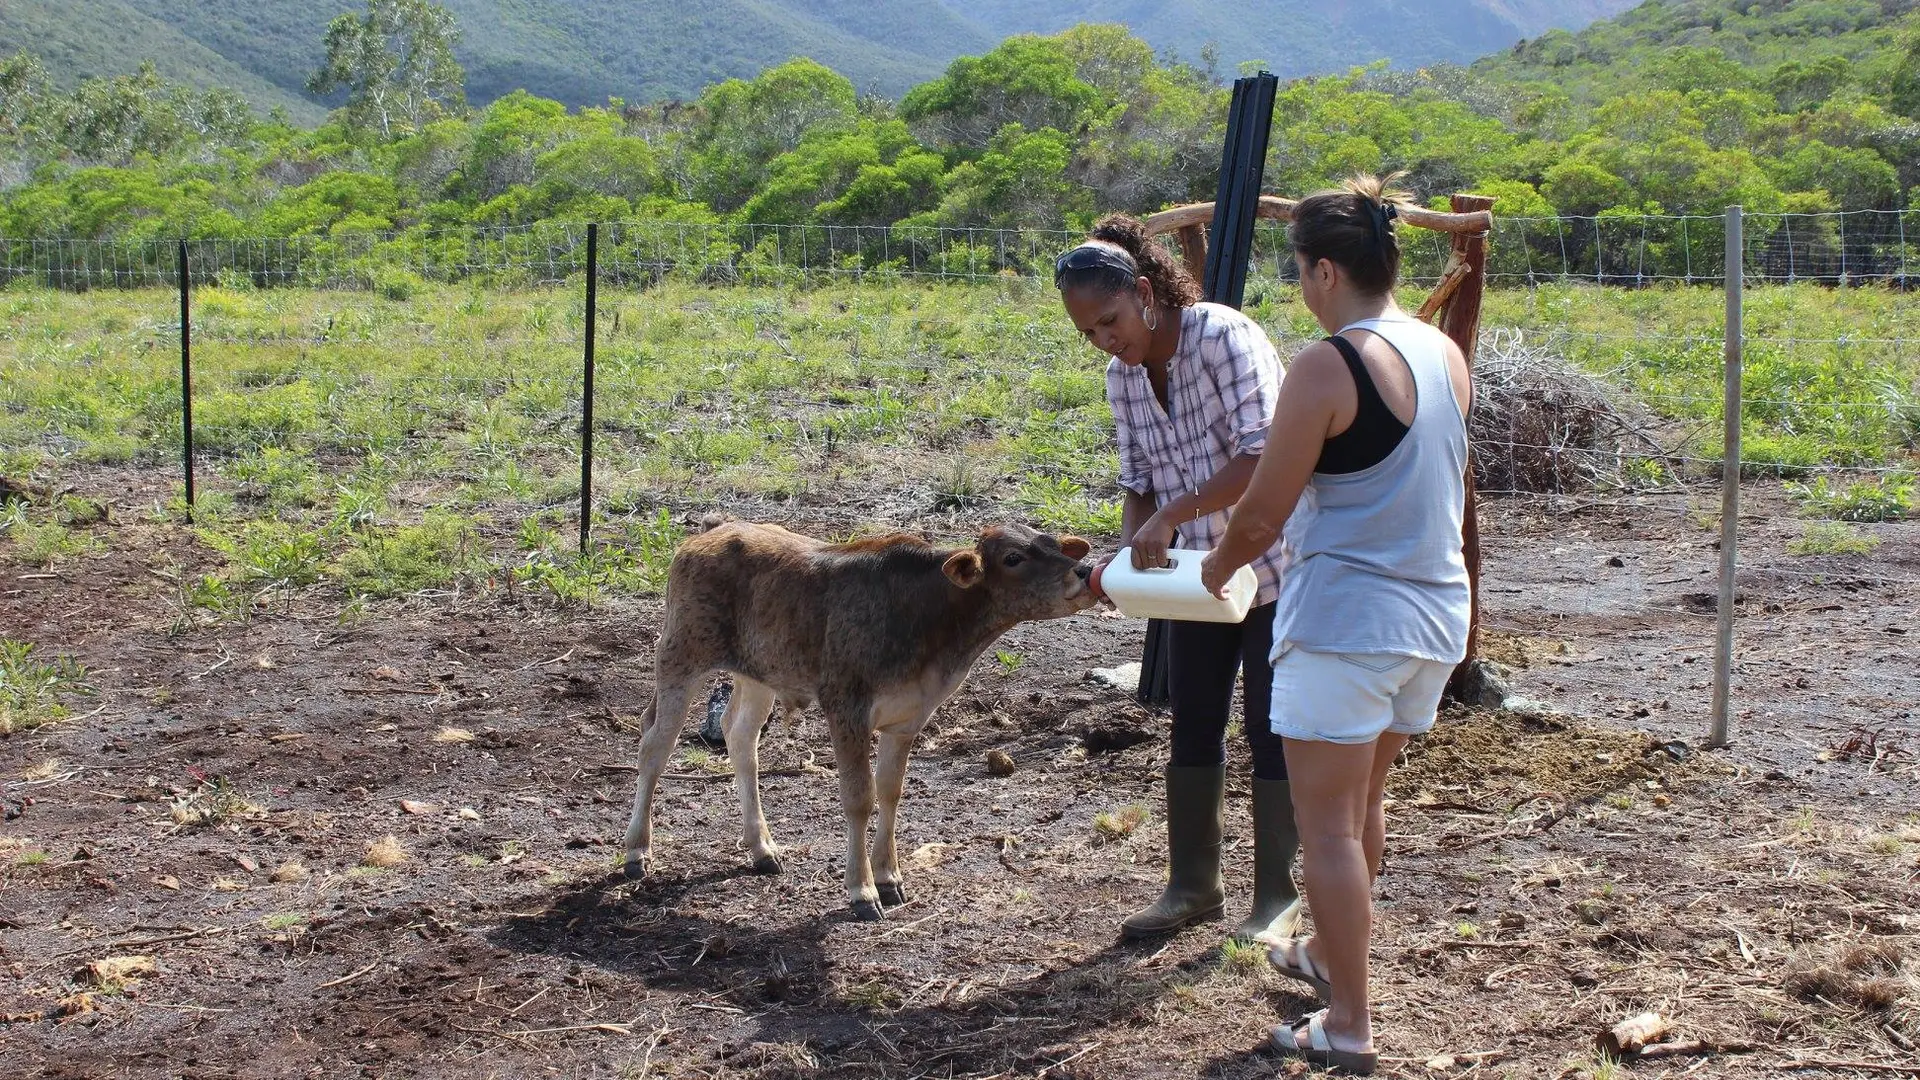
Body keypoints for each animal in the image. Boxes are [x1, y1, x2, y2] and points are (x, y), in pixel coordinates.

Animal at [622, 518, 1090, 914]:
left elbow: (890, 791)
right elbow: (859, 797)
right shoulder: (846, 708)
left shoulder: (907, 718)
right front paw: (862, 891)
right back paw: (637, 852)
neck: (931, 619)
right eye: (1013, 558)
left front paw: (889, 877)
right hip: (680, 656)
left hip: (758, 674)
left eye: (1053, 544)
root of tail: (714, 529)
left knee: (740, 739)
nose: (1084, 572)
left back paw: (762, 849)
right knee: (654, 747)